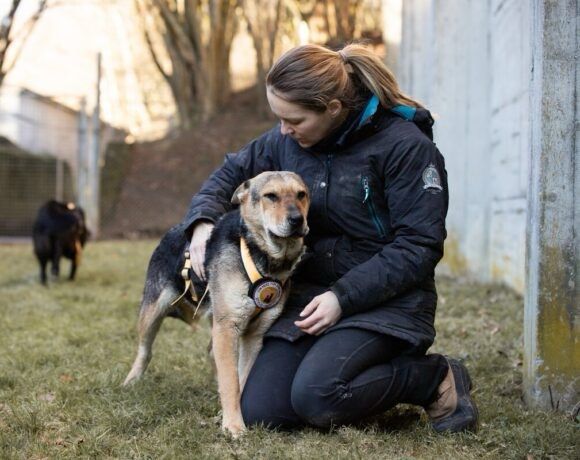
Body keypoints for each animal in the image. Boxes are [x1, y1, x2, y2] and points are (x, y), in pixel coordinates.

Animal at [124, 172, 310, 438]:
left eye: (301, 194)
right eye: (271, 196)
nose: (297, 220)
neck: (259, 256)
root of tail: (175, 229)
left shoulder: (254, 335)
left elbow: (240, 379)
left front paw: (230, 414)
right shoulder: (227, 326)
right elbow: (231, 381)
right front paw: (233, 426)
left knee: (211, 353)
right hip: (152, 313)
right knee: (144, 350)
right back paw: (131, 381)